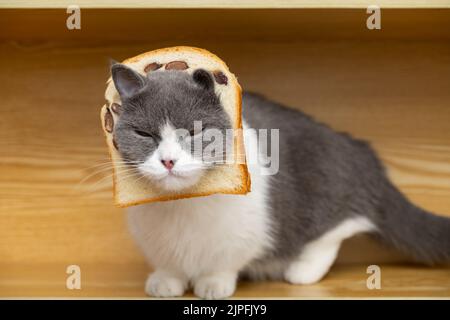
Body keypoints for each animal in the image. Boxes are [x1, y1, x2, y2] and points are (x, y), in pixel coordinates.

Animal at [110, 63, 450, 300]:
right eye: (144, 134)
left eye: (193, 132)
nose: (168, 161)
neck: (181, 207)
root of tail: (363, 153)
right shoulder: (152, 236)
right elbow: (168, 261)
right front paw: (166, 280)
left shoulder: (244, 229)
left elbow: (224, 259)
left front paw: (213, 283)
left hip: (325, 190)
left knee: (340, 227)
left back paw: (301, 270)